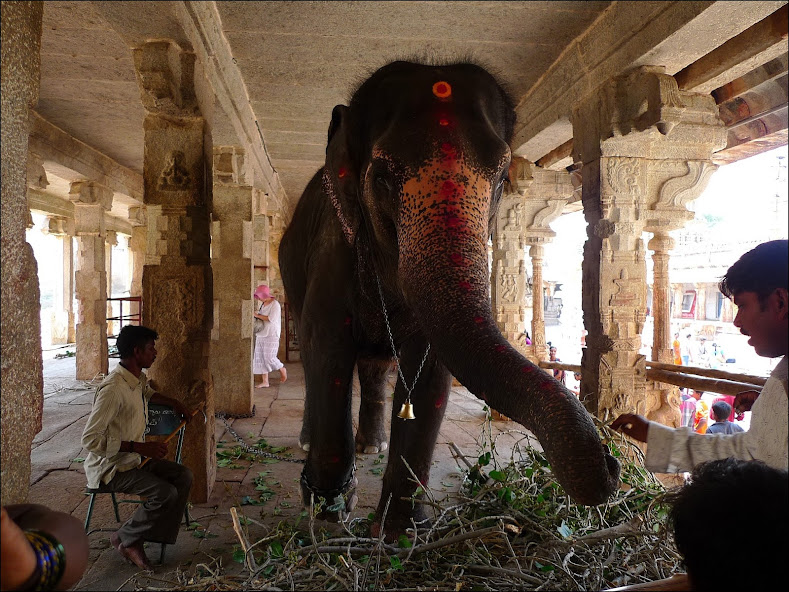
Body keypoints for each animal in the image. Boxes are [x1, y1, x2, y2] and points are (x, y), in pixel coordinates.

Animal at [278, 61, 620, 536]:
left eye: (501, 181)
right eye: (381, 178)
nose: (612, 459)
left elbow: (430, 372)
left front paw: (401, 532)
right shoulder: (333, 249)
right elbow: (327, 347)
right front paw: (328, 513)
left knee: (374, 366)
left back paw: (371, 446)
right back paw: (315, 447)